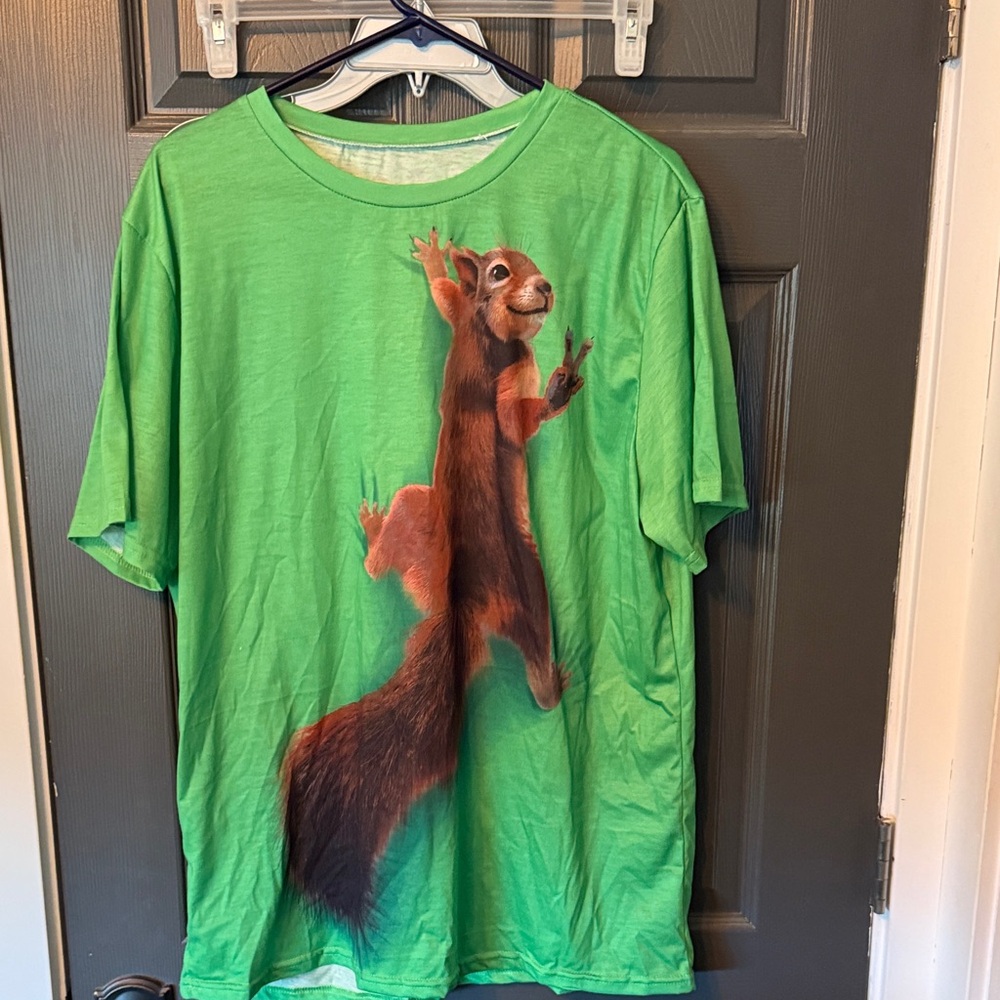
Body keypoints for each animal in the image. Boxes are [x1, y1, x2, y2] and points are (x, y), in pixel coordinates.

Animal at [281, 230, 592, 934]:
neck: (491, 334)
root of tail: (464, 605)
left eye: (533, 264)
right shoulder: (489, 351)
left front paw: (559, 386)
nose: (547, 289)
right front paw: (434, 257)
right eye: (500, 271)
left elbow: (507, 401)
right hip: (452, 534)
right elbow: (452, 307)